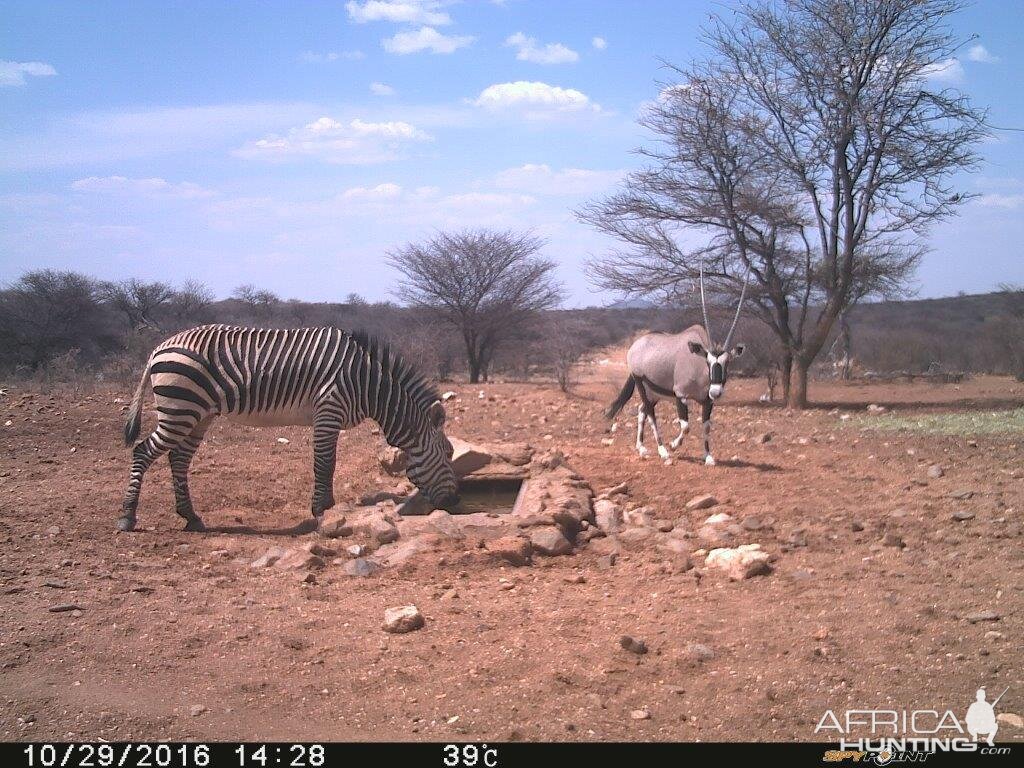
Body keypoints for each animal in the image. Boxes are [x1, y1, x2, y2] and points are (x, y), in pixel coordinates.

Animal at [116, 325, 460, 536]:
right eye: (447, 453)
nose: (456, 501)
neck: (369, 385)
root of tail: (159, 347)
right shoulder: (328, 410)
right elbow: (325, 464)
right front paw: (322, 511)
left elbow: (327, 465)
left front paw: (328, 511)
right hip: (180, 409)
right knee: (143, 451)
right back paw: (128, 517)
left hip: (198, 414)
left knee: (178, 459)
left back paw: (191, 517)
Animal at [602, 264, 749, 466]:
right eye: (708, 361)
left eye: (727, 363)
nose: (716, 392)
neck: (698, 368)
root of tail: (635, 346)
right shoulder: (681, 395)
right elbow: (686, 426)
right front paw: (673, 445)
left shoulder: (707, 401)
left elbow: (706, 426)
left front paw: (708, 457)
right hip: (641, 384)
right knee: (650, 413)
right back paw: (663, 450)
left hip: (654, 392)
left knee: (642, 410)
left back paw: (641, 448)